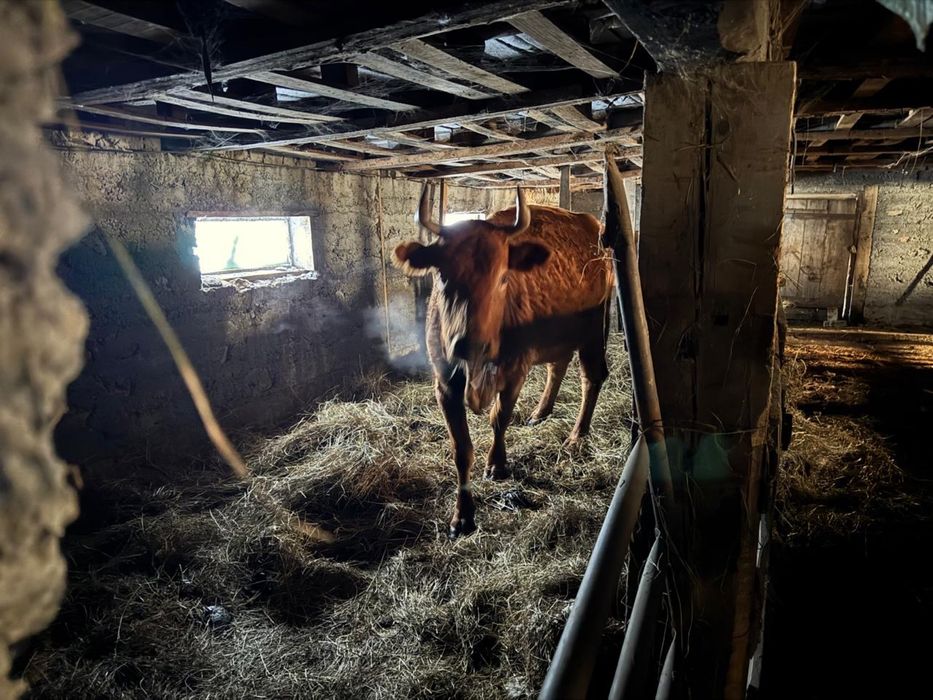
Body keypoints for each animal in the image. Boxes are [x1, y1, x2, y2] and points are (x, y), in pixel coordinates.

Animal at [393, 184, 614, 538]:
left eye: (502, 278)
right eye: (443, 277)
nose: (468, 342)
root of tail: (592, 226)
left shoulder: (514, 372)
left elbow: (499, 418)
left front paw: (496, 465)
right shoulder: (445, 384)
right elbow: (461, 448)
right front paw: (462, 517)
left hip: (594, 330)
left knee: (592, 377)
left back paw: (576, 437)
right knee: (557, 365)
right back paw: (540, 413)